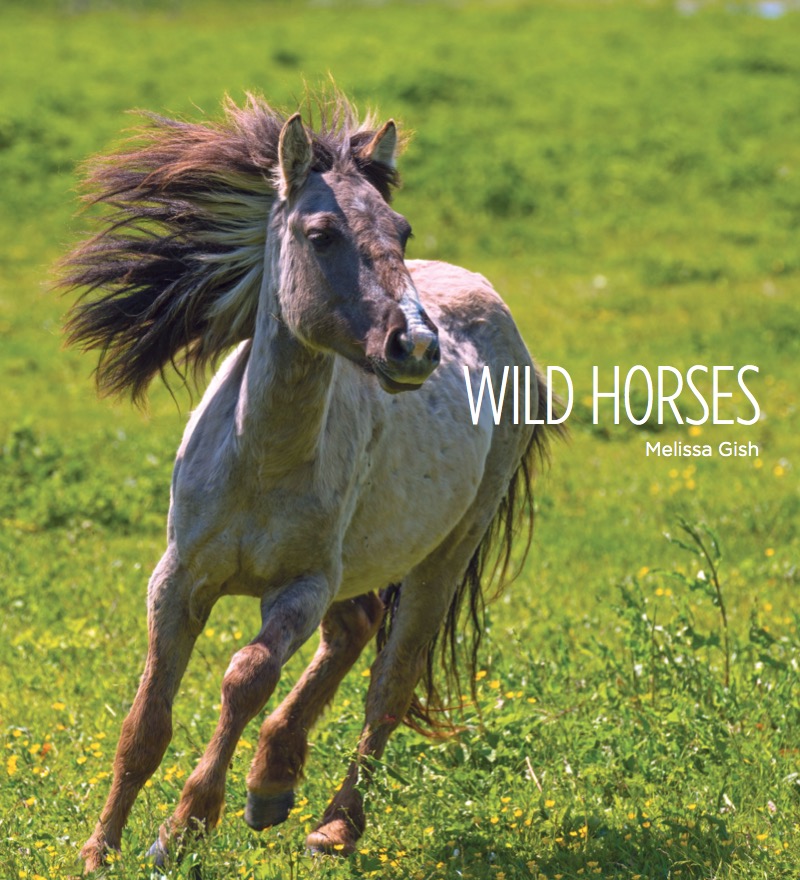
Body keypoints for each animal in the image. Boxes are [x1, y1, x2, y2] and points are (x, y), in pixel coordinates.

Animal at [58, 90, 559, 871]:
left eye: (401, 231)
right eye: (321, 234)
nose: (416, 346)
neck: (260, 459)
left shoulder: (301, 587)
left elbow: (245, 677)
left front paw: (184, 827)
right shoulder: (176, 579)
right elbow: (146, 722)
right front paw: (100, 850)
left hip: (444, 553)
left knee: (391, 680)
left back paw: (332, 825)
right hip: (363, 562)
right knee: (355, 632)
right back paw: (274, 782)